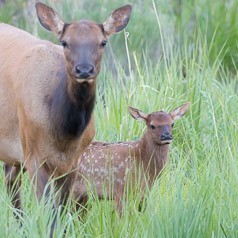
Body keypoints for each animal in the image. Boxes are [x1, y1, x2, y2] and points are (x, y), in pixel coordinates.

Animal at [0, 1, 131, 221]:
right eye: (65, 42)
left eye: (103, 42)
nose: (84, 69)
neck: (64, 133)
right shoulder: (33, 156)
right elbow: (49, 212)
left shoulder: (74, 161)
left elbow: (61, 209)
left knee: (11, 180)